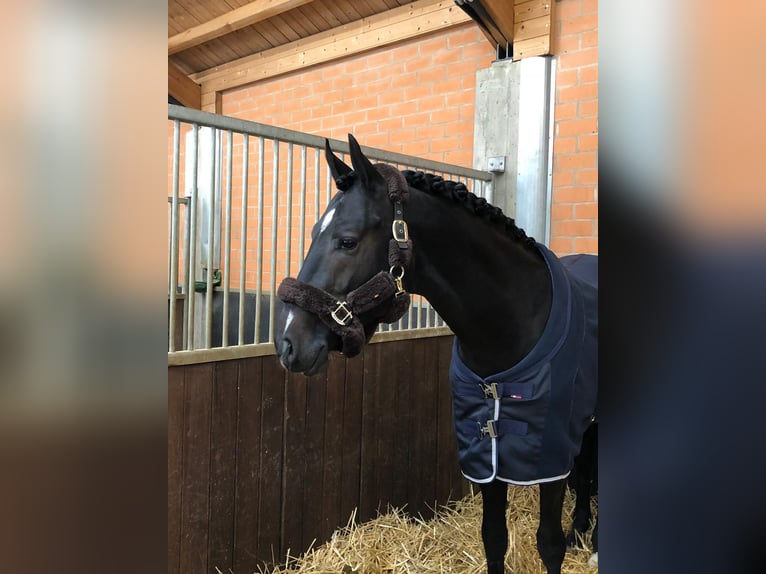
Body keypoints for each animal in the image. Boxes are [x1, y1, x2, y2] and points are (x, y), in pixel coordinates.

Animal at [274, 134, 598, 573]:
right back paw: (581, 528)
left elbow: (549, 544)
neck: (511, 330)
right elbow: (493, 538)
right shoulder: (485, 452)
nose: (289, 343)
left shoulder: (548, 451)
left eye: (347, 240)